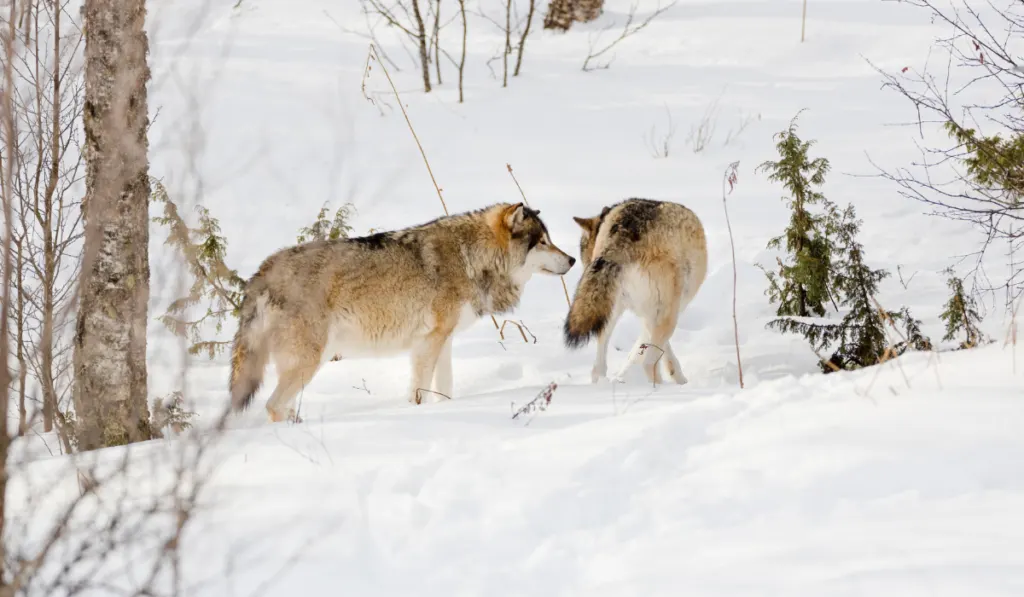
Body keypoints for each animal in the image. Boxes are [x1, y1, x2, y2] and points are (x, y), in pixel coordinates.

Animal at [230, 202, 577, 421]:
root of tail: (262, 271)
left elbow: (445, 389)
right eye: (542, 241)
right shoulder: (428, 343)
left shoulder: (443, 341)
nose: (573, 260)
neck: (471, 257)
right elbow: (419, 391)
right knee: (274, 406)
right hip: (310, 361)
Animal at [565, 200, 708, 385]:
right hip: (666, 315)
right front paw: (680, 380)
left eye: (586, 259)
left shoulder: (646, 315)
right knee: (648, 364)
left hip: (610, 312)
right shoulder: (660, 313)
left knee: (598, 368)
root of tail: (621, 238)